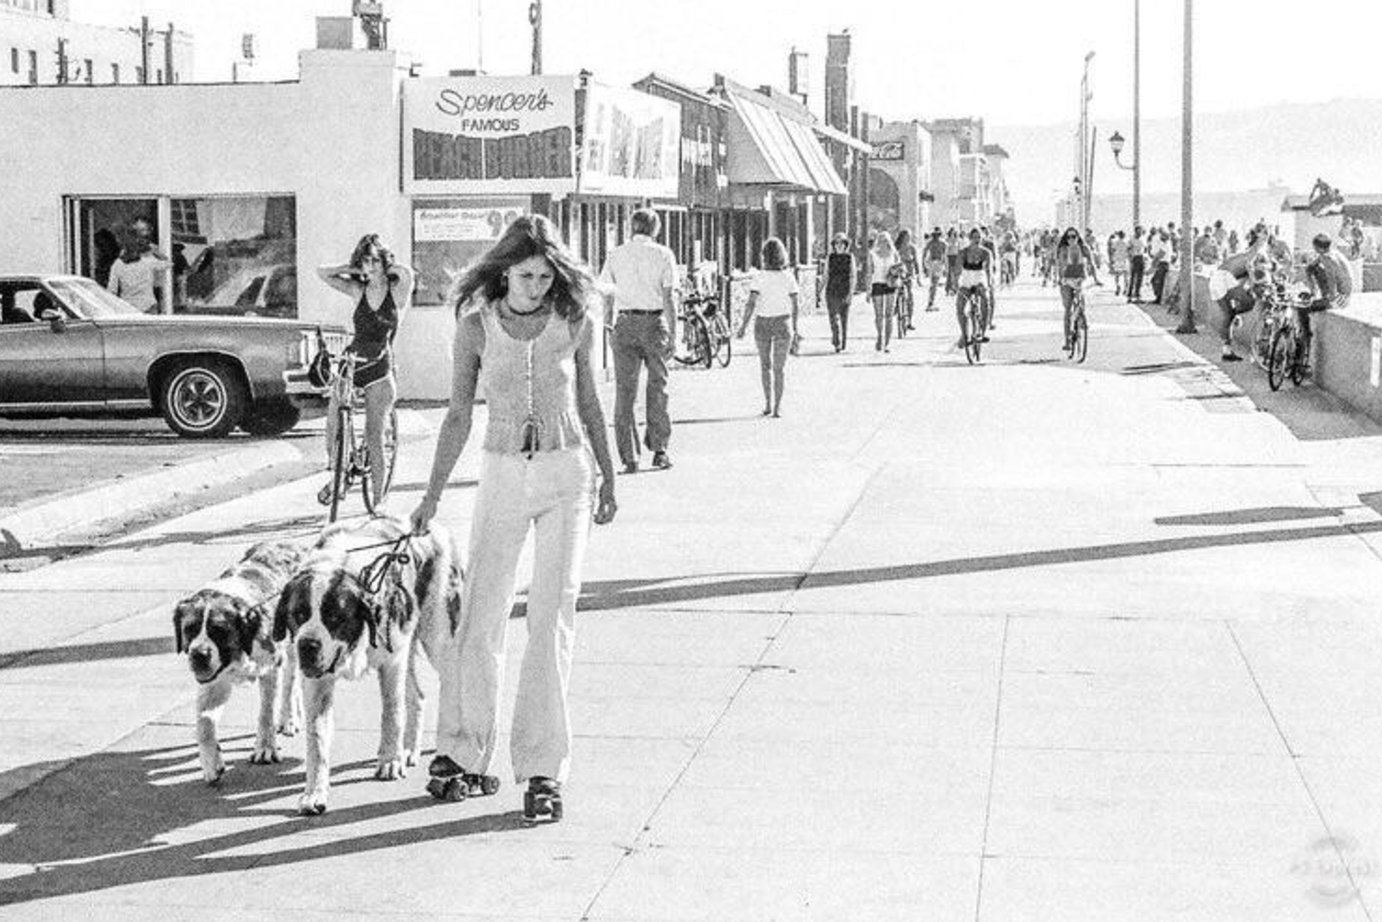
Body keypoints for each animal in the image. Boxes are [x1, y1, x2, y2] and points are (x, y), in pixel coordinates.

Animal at [172, 541, 305, 785]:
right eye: (190, 629)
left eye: (219, 631)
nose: (198, 655)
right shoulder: (215, 681)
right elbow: (204, 724)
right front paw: (211, 763)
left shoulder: (269, 666)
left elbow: (266, 712)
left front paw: (265, 748)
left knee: (290, 679)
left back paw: (288, 718)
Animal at [272, 519, 461, 812]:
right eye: (299, 614)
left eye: (335, 617)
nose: (308, 645)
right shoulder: (318, 681)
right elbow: (317, 739)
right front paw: (314, 793)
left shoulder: (391, 662)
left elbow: (392, 713)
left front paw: (390, 761)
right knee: (417, 695)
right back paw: (410, 748)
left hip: (437, 637)